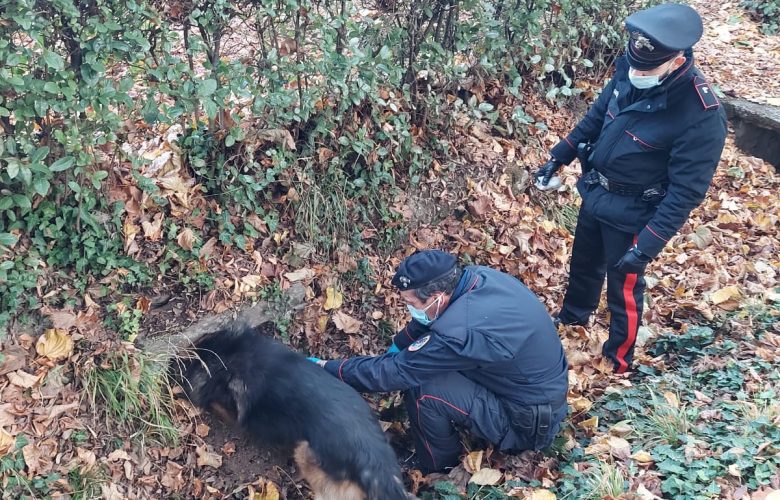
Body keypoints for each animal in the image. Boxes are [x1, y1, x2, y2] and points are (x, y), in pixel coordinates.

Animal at [177, 322, 408, 498]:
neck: (245, 357)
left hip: (305, 453)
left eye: (198, 363)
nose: (175, 365)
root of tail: (376, 464)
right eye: (198, 348)